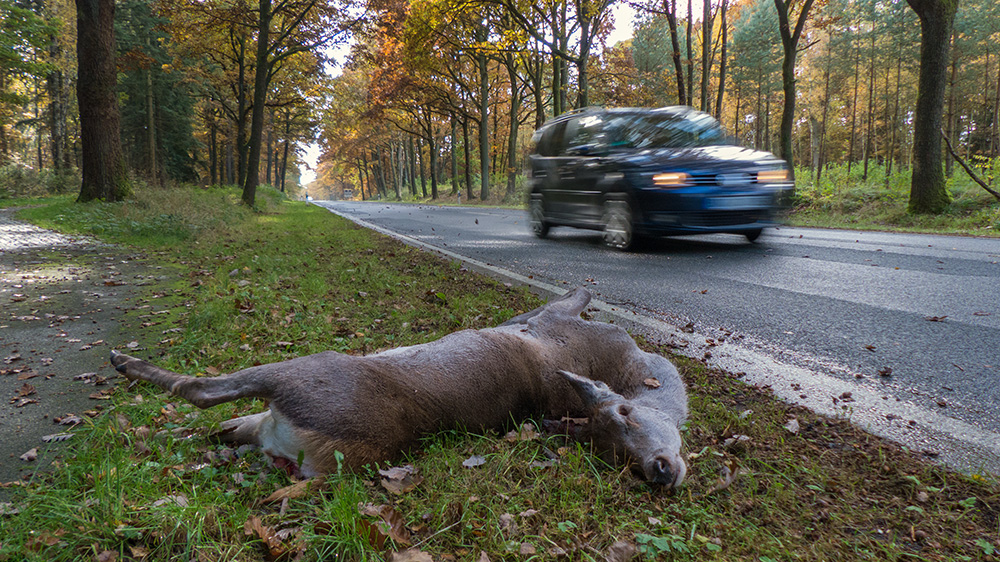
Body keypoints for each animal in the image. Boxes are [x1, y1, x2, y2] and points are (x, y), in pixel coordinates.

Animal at [109, 286, 688, 484]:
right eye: (615, 429)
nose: (657, 470)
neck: (631, 360)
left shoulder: (555, 317)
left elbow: (571, 296)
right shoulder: (546, 319)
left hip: (304, 373)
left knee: (204, 392)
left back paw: (125, 362)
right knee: (233, 423)